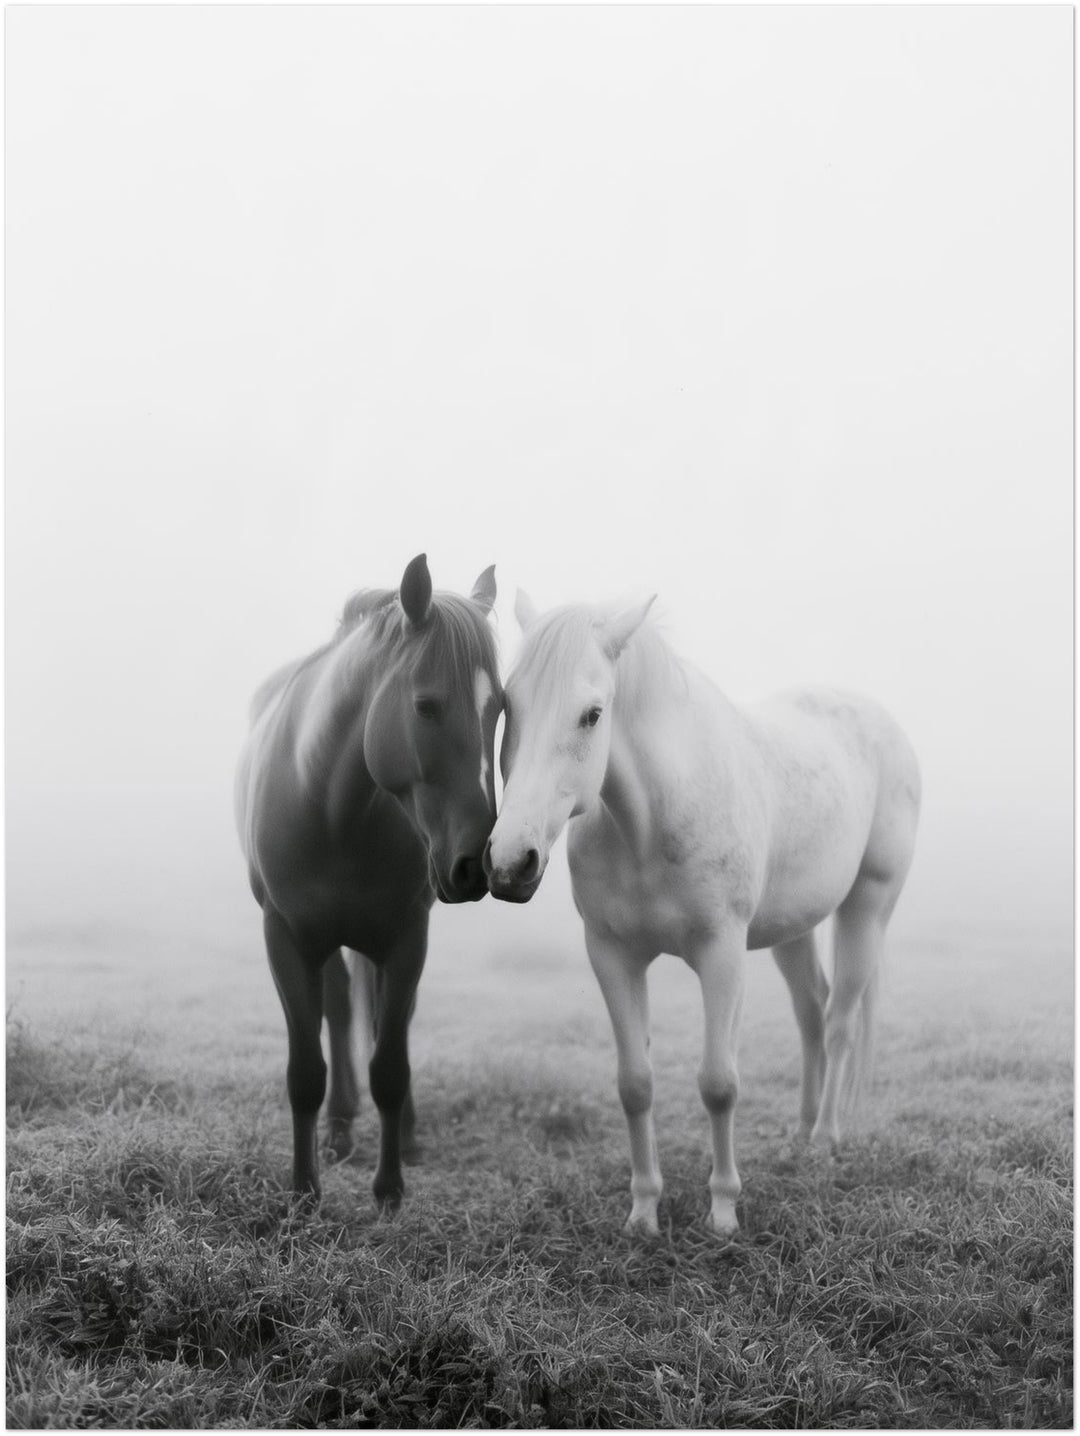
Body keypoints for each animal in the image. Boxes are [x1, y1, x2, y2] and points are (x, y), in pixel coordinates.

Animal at [235, 553, 502, 1210]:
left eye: (500, 708)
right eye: (426, 706)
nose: (476, 865)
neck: (332, 806)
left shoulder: (406, 939)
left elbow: (390, 1064)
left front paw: (389, 1188)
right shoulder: (285, 940)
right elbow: (306, 1070)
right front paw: (304, 1189)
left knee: (381, 1021)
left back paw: (401, 1134)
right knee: (337, 1010)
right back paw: (338, 1127)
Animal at [485, 592, 920, 1237]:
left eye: (592, 714)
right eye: (508, 705)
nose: (510, 863)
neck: (649, 825)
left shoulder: (721, 953)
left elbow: (718, 1084)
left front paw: (722, 1211)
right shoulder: (611, 956)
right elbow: (634, 1084)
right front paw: (644, 1210)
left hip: (866, 907)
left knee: (840, 1019)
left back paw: (824, 1137)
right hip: (794, 929)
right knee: (812, 1014)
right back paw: (800, 1131)